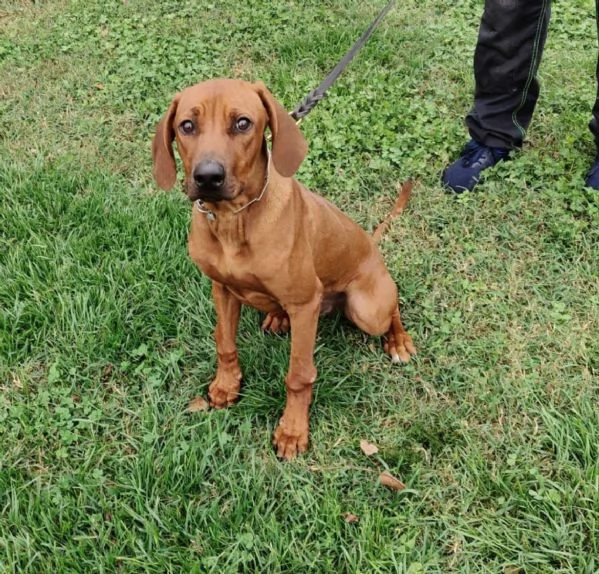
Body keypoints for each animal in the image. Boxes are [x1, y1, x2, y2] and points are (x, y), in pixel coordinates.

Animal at [154, 79, 418, 462]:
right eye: (186, 125)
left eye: (243, 123)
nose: (208, 177)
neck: (234, 220)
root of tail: (371, 244)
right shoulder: (221, 289)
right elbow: (225, 344)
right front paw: (226, 386)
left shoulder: (305, 305)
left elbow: (299, 375)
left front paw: (292, 431)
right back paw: (277, 318)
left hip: (366, 308)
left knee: (392, 306)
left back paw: (398, 341)